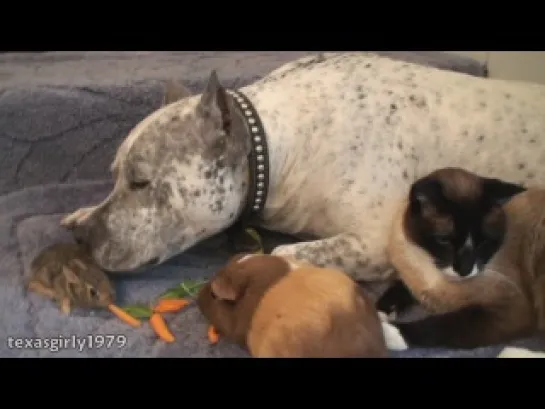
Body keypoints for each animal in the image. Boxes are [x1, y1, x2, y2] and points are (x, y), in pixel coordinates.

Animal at [61, 52, 544, 284]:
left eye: (141, 182)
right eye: (115, 176)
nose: (84, 238)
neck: (278, 148)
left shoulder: (375, 244)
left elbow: (283, 254)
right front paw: (83, 212)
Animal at [378, 167, 545, 348]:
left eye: (483, 242)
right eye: (444, 240)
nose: (465, 270)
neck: (431, 270)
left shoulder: (508, 307)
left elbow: (443, 326)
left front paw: (388, 333)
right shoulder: (413, 282)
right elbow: (398, 288)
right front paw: (379, 312)